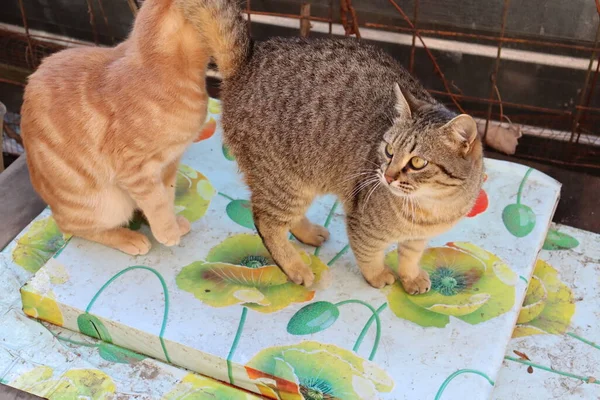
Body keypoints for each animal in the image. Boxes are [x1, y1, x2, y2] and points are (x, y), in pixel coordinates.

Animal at [19, 0, 248, 255]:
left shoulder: (169, 163)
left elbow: (166, 195)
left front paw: (170, 222)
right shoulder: (135, 168)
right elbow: (156, 201)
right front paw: (167, 231)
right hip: (104, 205)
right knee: (76, 227)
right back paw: (127, 238)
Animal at [223, 37, 486, 292]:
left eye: (418, 162)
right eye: (389, 151)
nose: (387, 176)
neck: (433, 207)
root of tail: (250, 59)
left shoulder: (418, 237)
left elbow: (410, 256)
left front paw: (410, 277)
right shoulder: (363, 224)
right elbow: (368, 254)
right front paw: (378, 275)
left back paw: (308, 234)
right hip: (284, 181)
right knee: (267, 222)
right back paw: (295, 268)